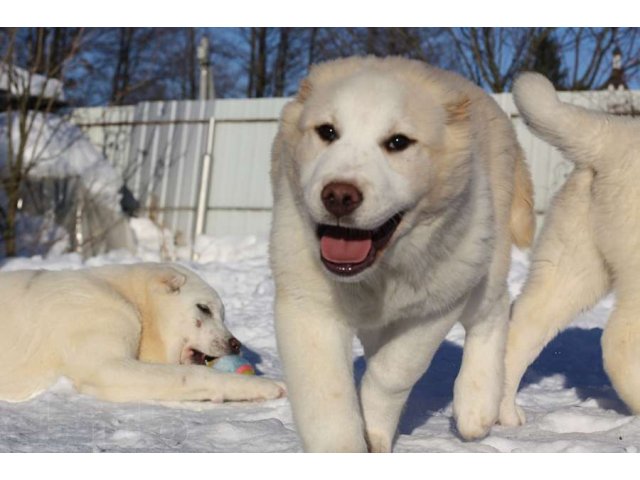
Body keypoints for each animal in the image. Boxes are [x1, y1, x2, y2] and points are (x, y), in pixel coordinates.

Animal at [0, 264, 284, 404]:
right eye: (204, 308)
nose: (236, 344)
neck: (131, 299)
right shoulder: (104, 363)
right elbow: (191, 375)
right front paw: (266, 386)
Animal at [270, 56, 536, 450]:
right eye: (327, 132)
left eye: (398, 142)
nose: (339, 195)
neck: (379, 272)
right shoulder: (308, 307)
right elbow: (327, 401)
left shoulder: (437, 305)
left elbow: (391, 372)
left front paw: (376, 429)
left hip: (482, 257)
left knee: (493, 310)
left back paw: (477, 405)